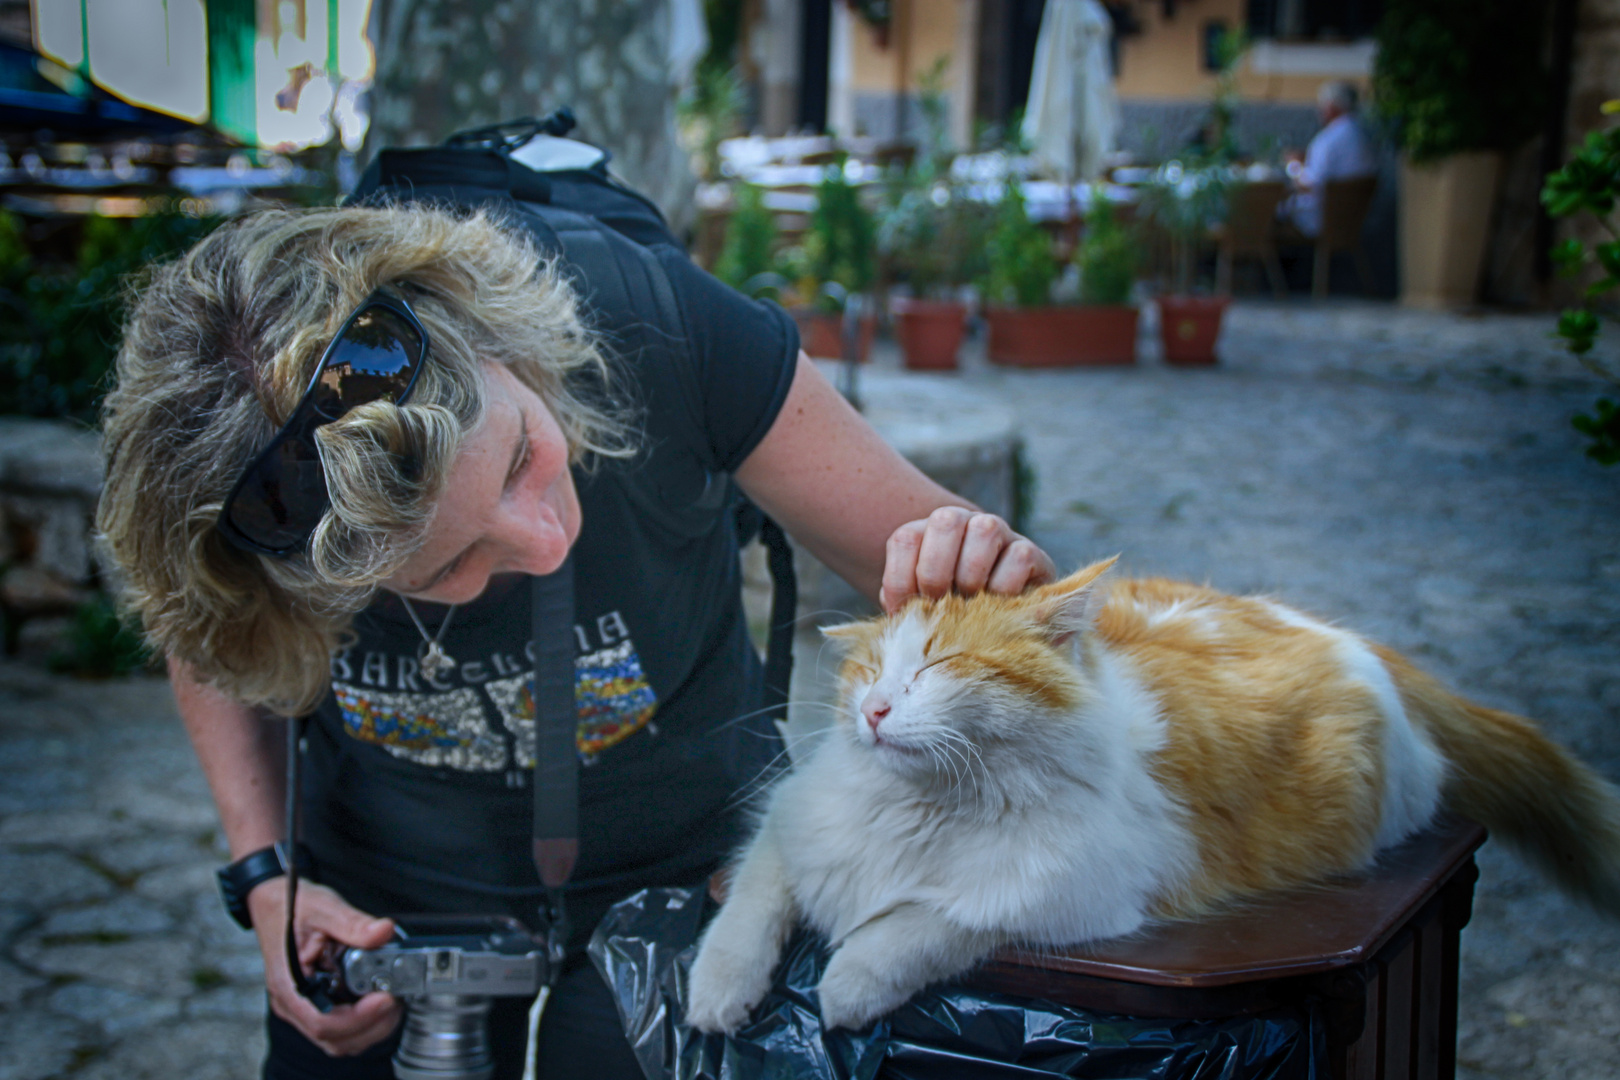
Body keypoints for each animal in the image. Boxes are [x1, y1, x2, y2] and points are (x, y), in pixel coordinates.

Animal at [683, 563, 1620, 1036]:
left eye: (938, 667)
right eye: (871, 672)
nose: (875, 711)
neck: (920, 809)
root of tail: (1354, 642)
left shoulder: (1068, 896)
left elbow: (918, 928)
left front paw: (845, 990)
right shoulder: (790, 828)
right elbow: (747, 910)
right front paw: (716, 999)